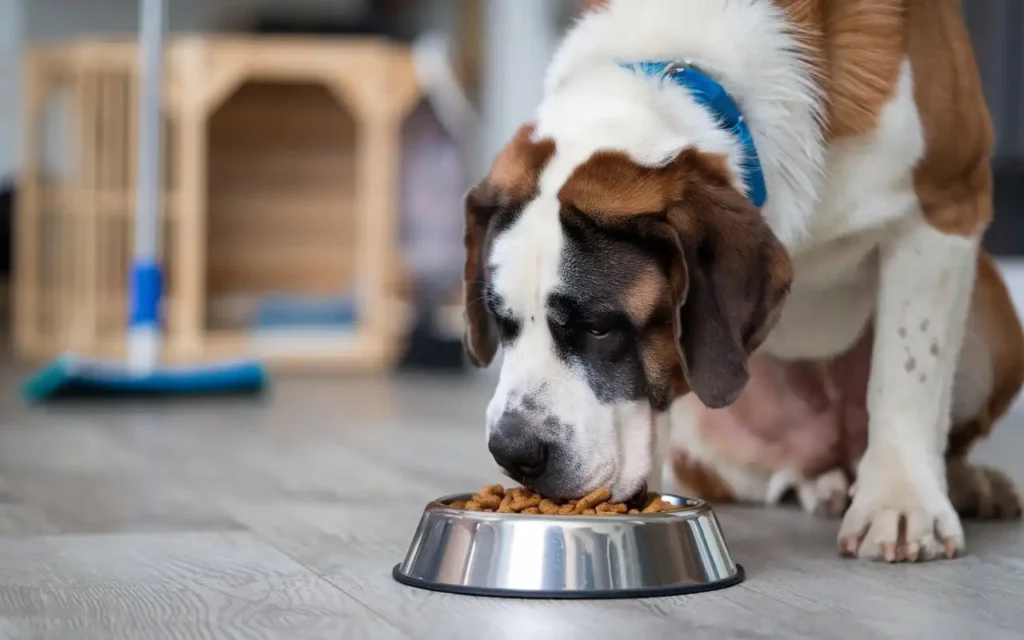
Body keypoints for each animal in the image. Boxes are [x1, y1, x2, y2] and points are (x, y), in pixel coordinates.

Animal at [462, 0, 1024, 557]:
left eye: (600, 328)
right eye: (502, 322)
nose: (512, 451)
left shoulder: (947, 205)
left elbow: (909, 371)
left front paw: (901, 504)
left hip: (993, 335)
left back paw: (968, 483)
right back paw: (824, 483)